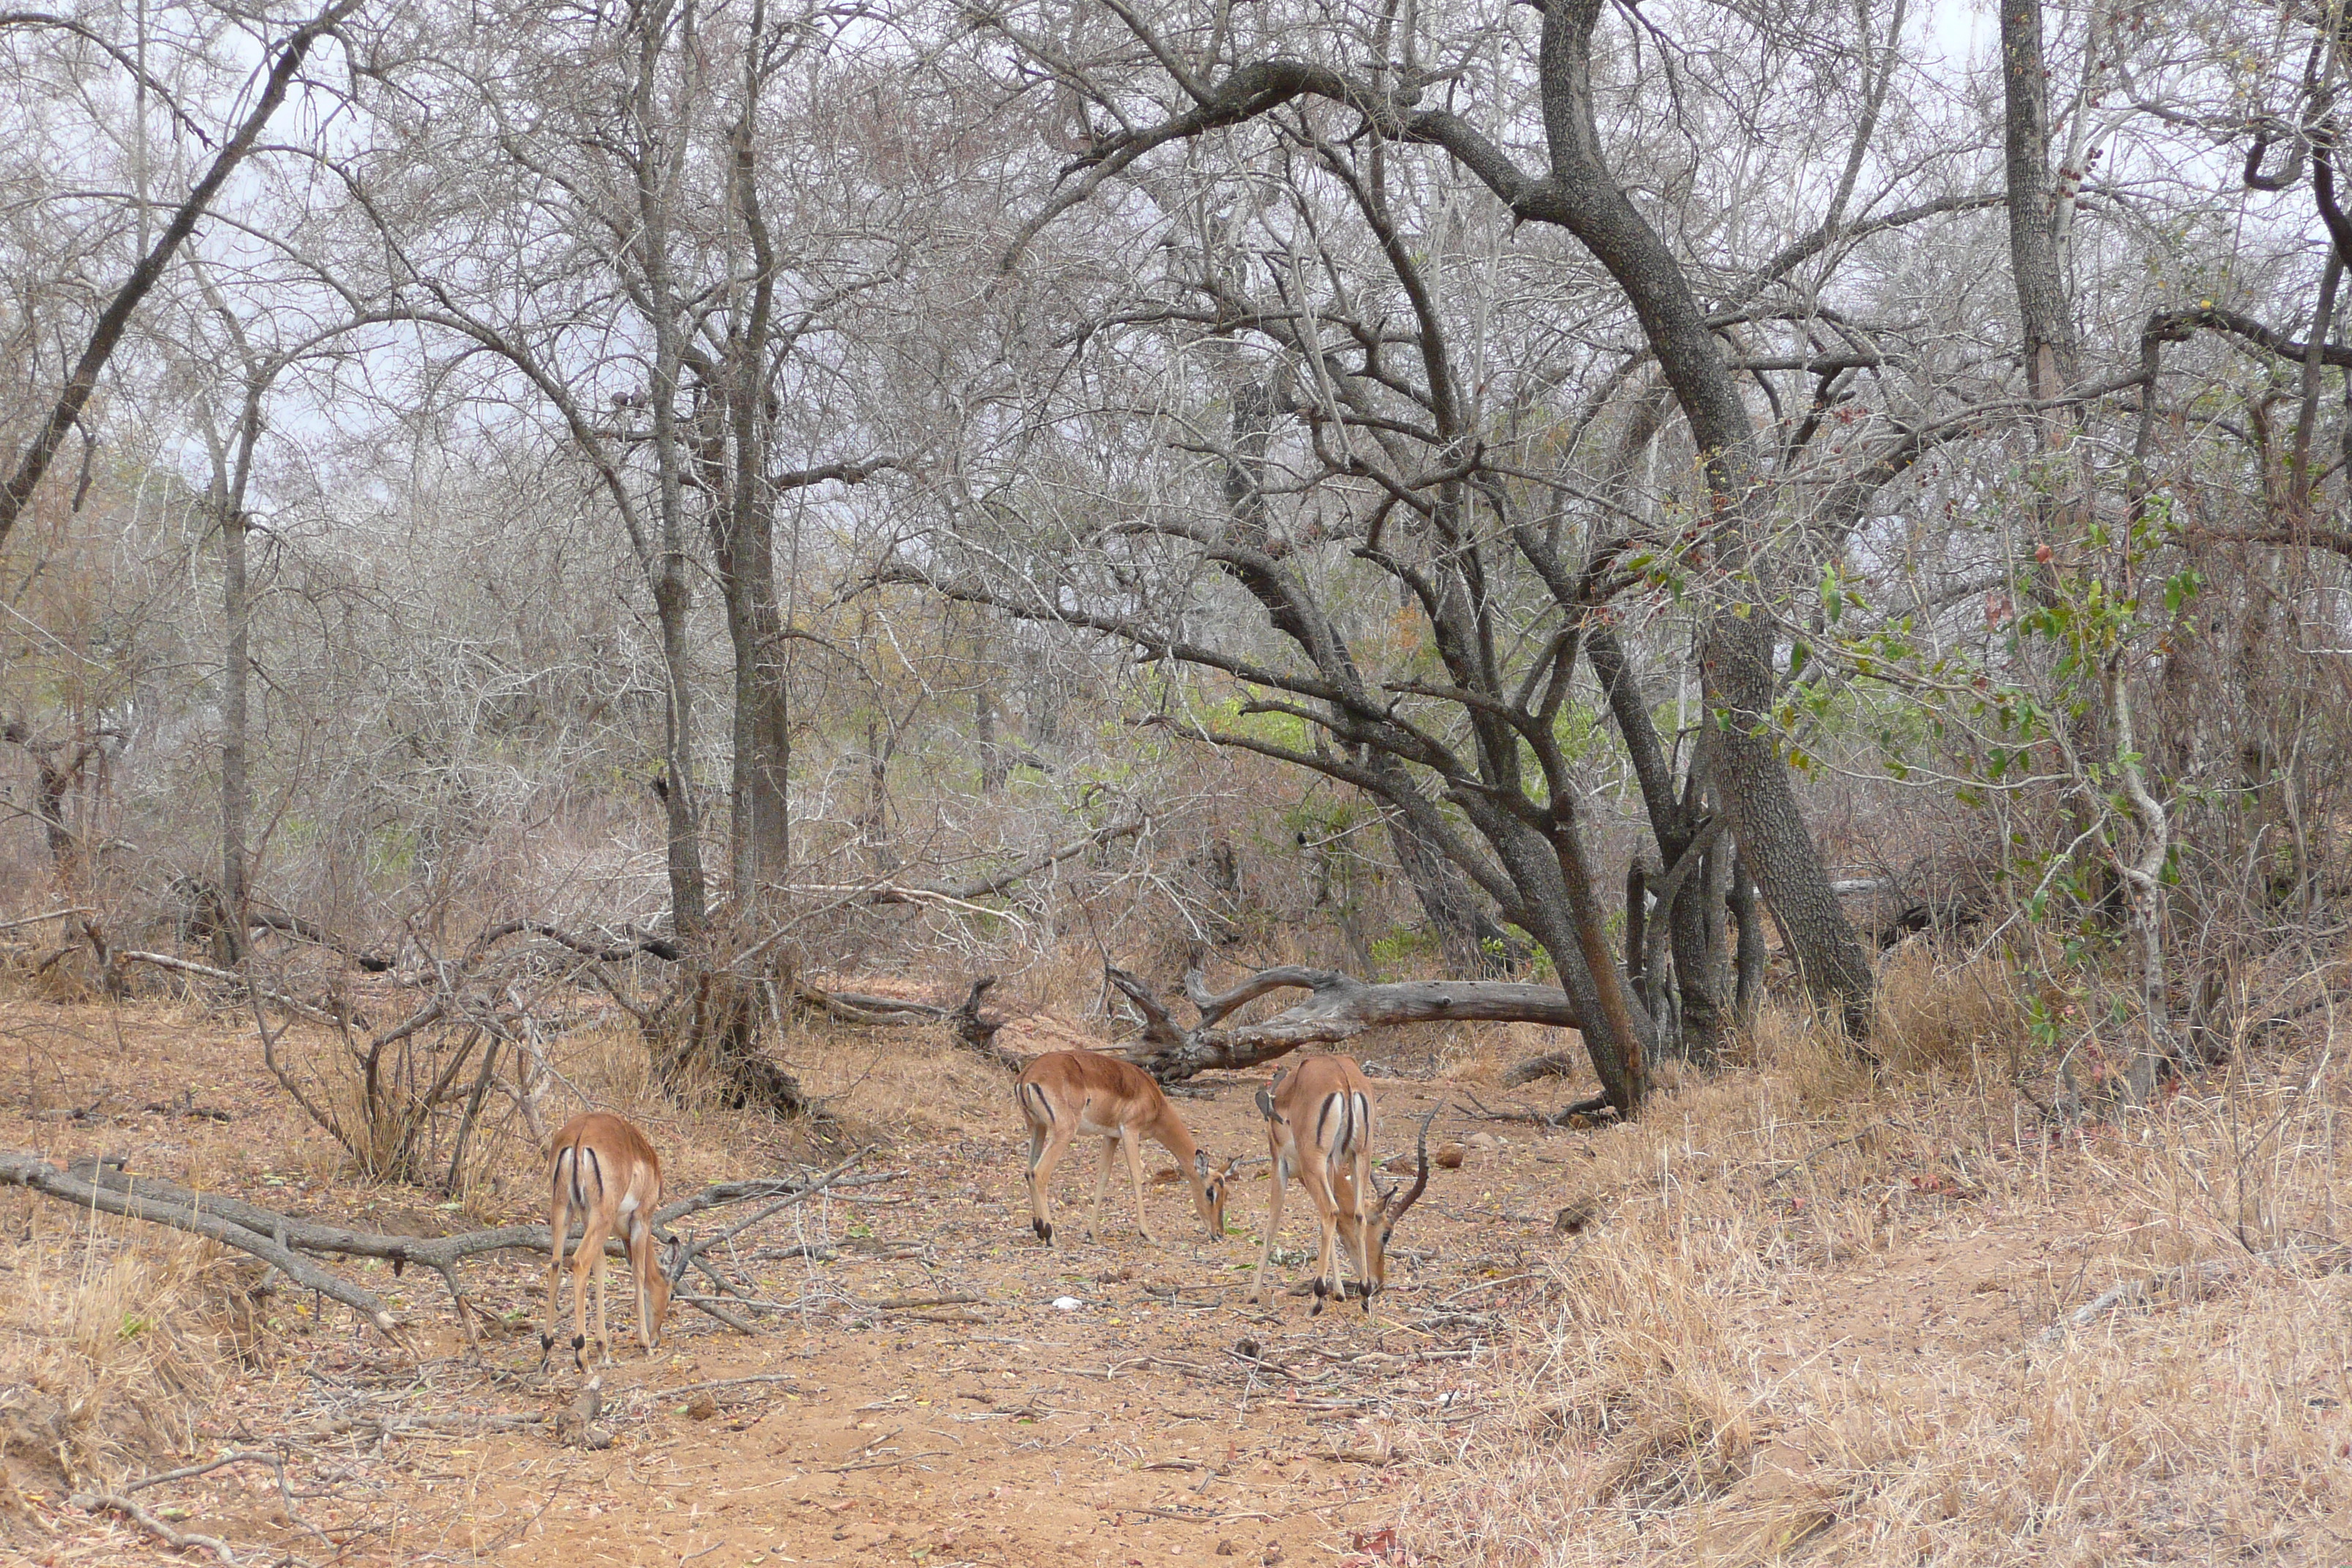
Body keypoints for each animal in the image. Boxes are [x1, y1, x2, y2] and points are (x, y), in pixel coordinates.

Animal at [536, 1109, 682, 1363]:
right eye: (671, 1294)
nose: (657, 1338)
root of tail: (580, 1134)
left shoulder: (589, 1219)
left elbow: (601, 1267)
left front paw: (603, 1348)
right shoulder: (641, 1219)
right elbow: (638, 1271)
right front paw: (644, 1343)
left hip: (564, 1209)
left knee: (556, 1265)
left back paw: (547, 1349)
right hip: (602, 1215)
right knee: (579, 1262)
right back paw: (582, 1356)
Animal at [1016, 1053, 1242, 1251]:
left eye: (1227, 1193)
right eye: (1210, 1192)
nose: (1219, 1233)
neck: (1154, 1100)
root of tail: (1028, 1074)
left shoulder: (1111, 1136)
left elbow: (1103, 1177)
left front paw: (1092, 1234)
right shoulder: (1130, 1131)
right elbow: (1136, 1176)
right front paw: (1148, 1235)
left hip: (1037, 1128)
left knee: (1028, 1172)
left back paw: (1039, 1229)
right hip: (1063, 1132)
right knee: (1039, 1173)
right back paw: (1051, 1237)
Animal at [1242, 1053, 1439, 1316]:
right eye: (1386, 1234)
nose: (1380, 1283)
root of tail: (1343, 1078)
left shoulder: (1280, 1163)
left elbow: (1273, 1224)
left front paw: (1253, 1294)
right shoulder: (1329, 1164)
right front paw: (1339, 1292)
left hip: (1314, 1161)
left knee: (1329, 1212)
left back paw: (1316, 1300)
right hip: (1361, 1156)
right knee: (1357, 1215)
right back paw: (1364, 1295)